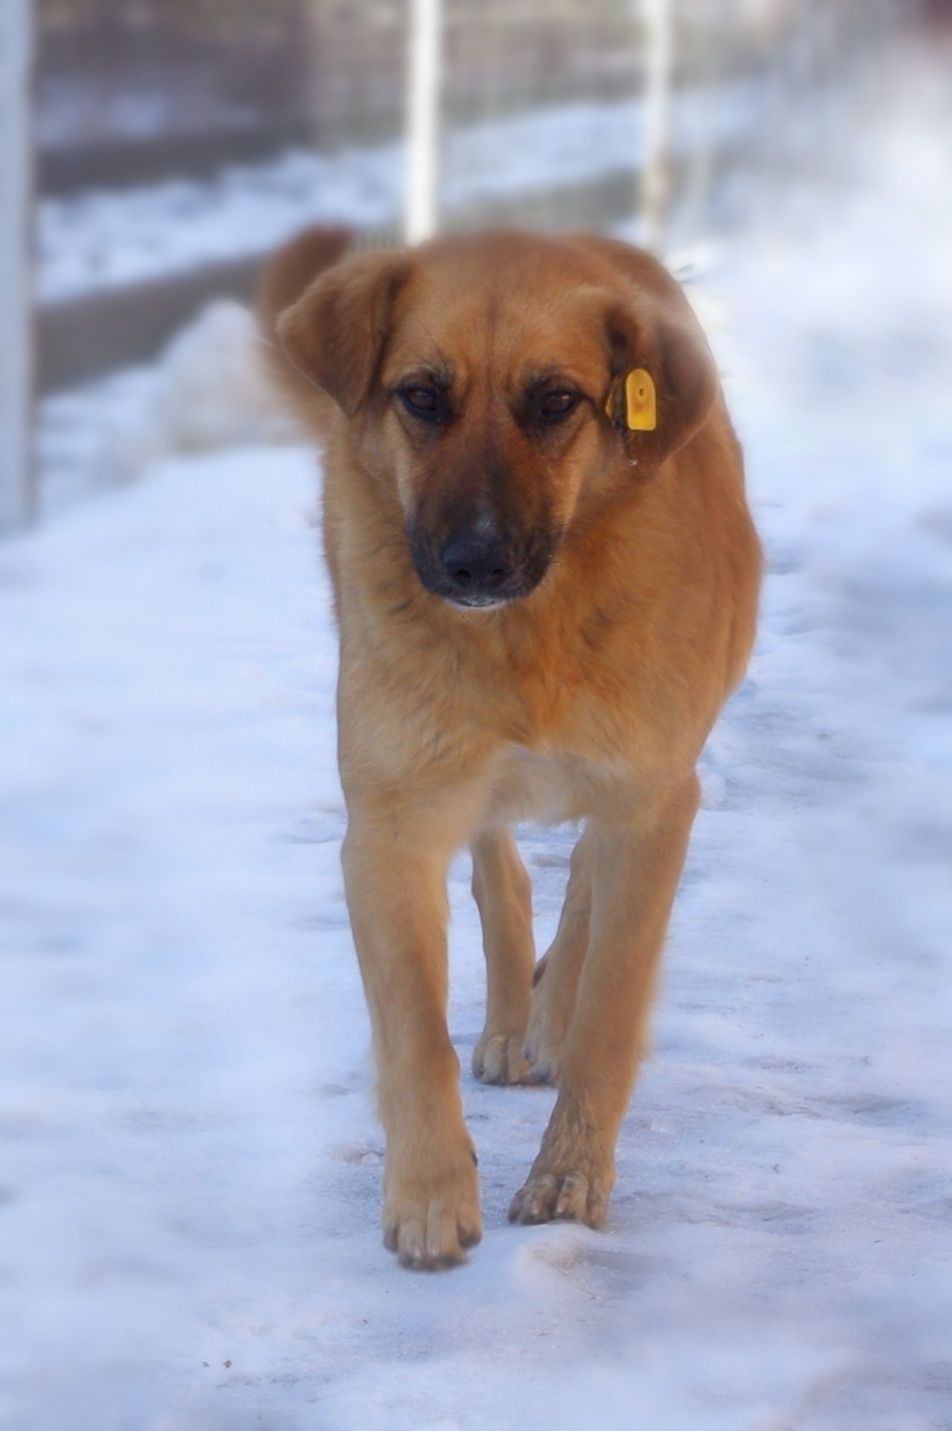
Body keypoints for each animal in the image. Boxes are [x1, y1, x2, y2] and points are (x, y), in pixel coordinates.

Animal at [256, 228, 761, 1270]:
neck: (527, 638)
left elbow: (612, 1004)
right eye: (420, 396)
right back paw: (509, 1020)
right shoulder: (390, 833)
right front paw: (430, 1195)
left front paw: (568, 1176)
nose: (474, 564)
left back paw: (546, 1019)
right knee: (504, 869)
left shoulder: (654, 804)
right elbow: (415, 1030)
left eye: (556, 402)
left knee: (583, 887)